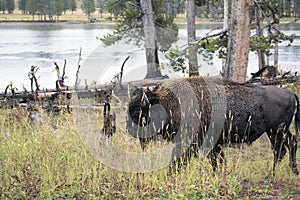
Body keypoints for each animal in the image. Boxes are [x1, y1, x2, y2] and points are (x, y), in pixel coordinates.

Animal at [127, 76, 300, 175]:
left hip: (276, 131)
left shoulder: (190, 144)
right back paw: (292, 171)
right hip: (278, 131)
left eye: (138, 113)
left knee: (280, 150)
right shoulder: (212, 145)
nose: (130, 130)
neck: (168, 103)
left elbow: (178, 161)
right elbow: (217, 161)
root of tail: (290, 93)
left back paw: (272, 174)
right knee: (290, 144)